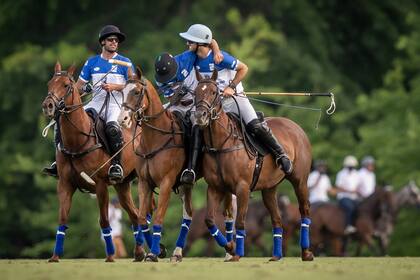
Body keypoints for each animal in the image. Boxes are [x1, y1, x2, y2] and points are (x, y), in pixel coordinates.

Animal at [41, 61, 142, 262]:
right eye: (49, 83)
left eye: (66, 85)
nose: (48, 106)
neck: (77, 142)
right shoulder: (65, 184)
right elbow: (62, 219)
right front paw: (55, 256)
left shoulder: (100, 185)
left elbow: (104, 220)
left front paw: (110, 256)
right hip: (122, 185)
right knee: (135, 215)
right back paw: (140, 253)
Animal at [194, 70, 316, 262]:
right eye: (195, 92)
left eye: (214, 92)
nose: (200, 116)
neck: (221, 144)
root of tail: (296, 126)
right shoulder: (215, 188)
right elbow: (209, 220)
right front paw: (230, 247)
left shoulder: (242, 187)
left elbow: (239, 222)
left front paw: (237, 253)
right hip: (269, 188)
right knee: (277, 218)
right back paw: (276, 255)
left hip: (300, 180)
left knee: (304, 209)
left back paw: (306, 252)